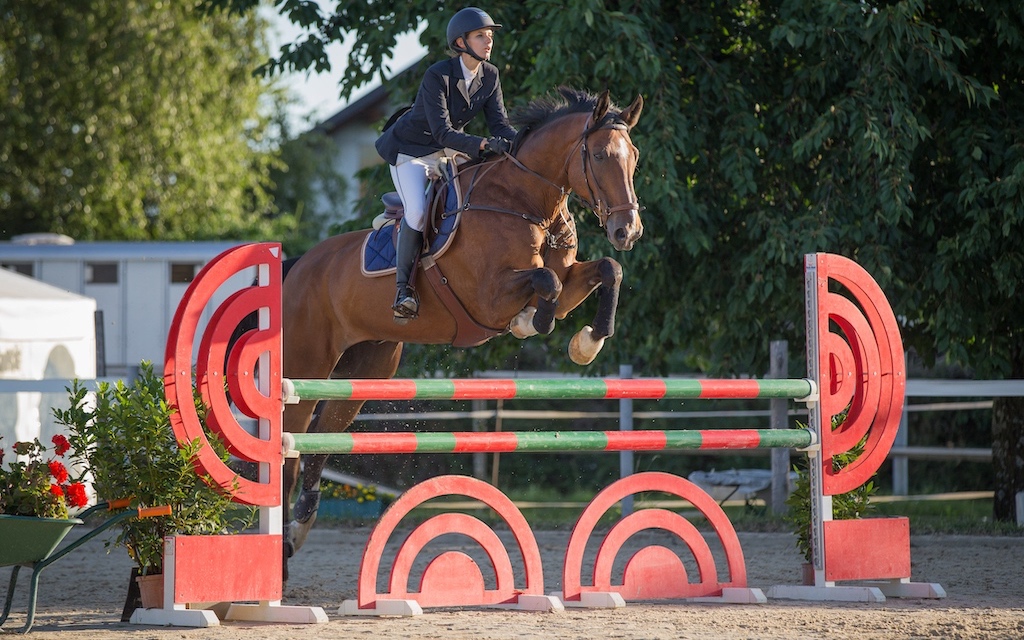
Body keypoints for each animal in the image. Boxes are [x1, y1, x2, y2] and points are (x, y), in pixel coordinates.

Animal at [278, 86, 647, 573]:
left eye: (634, 157)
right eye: (601, 154)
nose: (628, 231)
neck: (527, 203)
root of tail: (300, 265)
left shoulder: (569, 281)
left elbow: (606, 270)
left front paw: (588, 341)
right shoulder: (489, 298)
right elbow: (544, 284)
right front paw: (531, 323)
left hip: (366, 371)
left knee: (319, 440)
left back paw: (298, 530)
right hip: (306, 367)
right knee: (290, 446)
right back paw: (280, 554)